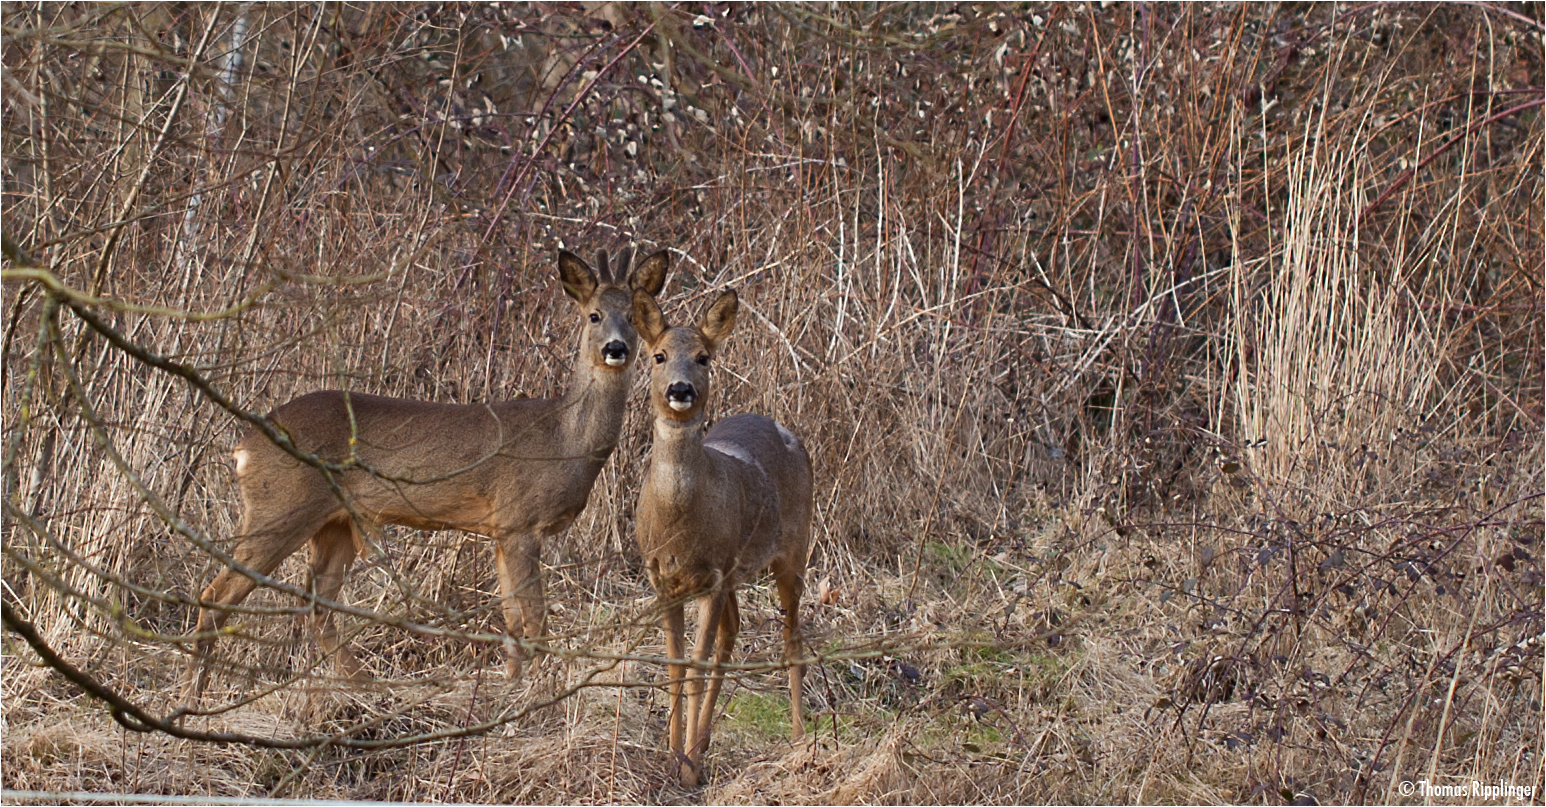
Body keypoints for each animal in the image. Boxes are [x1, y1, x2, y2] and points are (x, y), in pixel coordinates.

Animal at [183, 247, 667, 692]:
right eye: (594, 315)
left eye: (633, 317)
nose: (616, 348)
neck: (565, 441)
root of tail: (243, 446)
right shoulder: (520, 520)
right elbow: (534, 618)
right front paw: (541, 691)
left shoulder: (500, 530)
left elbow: (511, 618)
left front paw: (511, 688)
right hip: (280, 508)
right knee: (217, 594)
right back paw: (196, 689)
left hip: (334, 523)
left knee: (317, 606)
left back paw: (364, 688)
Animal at [633, 286, 816, 782]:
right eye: (658, 355)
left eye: (703, 357)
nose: (680, 389)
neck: (679, 526)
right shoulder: (662, 580)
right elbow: (676, 666)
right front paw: (672, 753)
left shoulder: (712, 577)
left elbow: (695, 667)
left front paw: (686, 770)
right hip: (737, 573)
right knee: (731, 634)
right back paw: (703, 742)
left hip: (794, 549)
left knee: (792, 638)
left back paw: (799, 740)